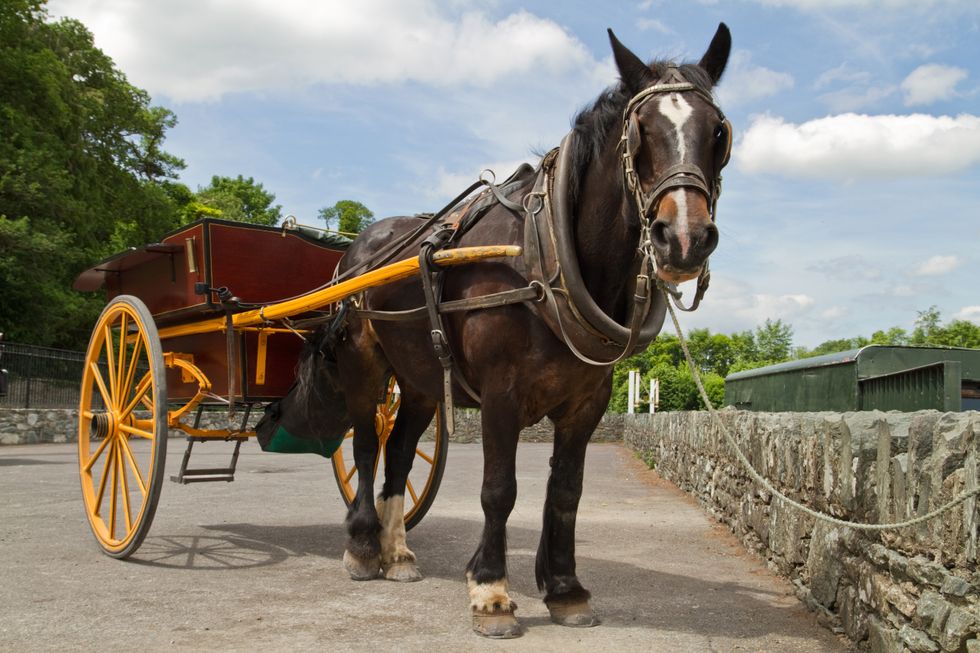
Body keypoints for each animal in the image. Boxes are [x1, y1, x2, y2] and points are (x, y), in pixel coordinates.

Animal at [314, 25, 730, 638]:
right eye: (640, 132)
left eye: (718, 133)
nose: (684, 238)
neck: (543, 257)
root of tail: (360, 246)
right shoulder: (500, 395)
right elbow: (499, 490)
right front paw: (491, 592)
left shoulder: (588, 401)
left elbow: (566, 492)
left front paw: (565, 589)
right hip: (364, 362)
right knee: (367, 447)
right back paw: (365, 548)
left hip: (419, 380)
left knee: (401, 451)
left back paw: (399, 554)